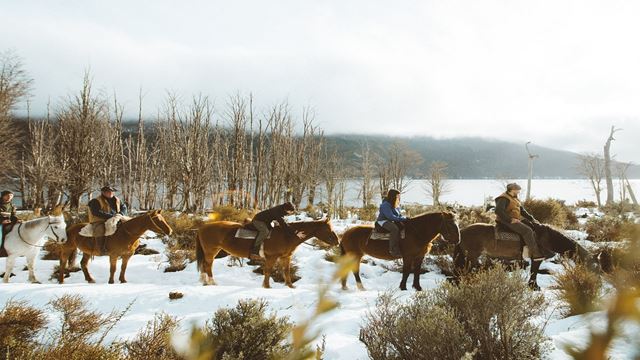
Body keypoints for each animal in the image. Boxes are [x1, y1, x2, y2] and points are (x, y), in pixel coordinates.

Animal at [196, 217, 340, 290]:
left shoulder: (286, 257)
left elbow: (286, 271)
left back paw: (205, 282)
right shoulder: (272, 257)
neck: (286, 235)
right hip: (211, 251)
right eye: (328, 229)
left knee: (205, 265)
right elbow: (268, 271)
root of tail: (202, 227)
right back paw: (211, 283)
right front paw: (267, 286)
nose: (337, 241)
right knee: (208, 265)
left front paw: (290, 285)